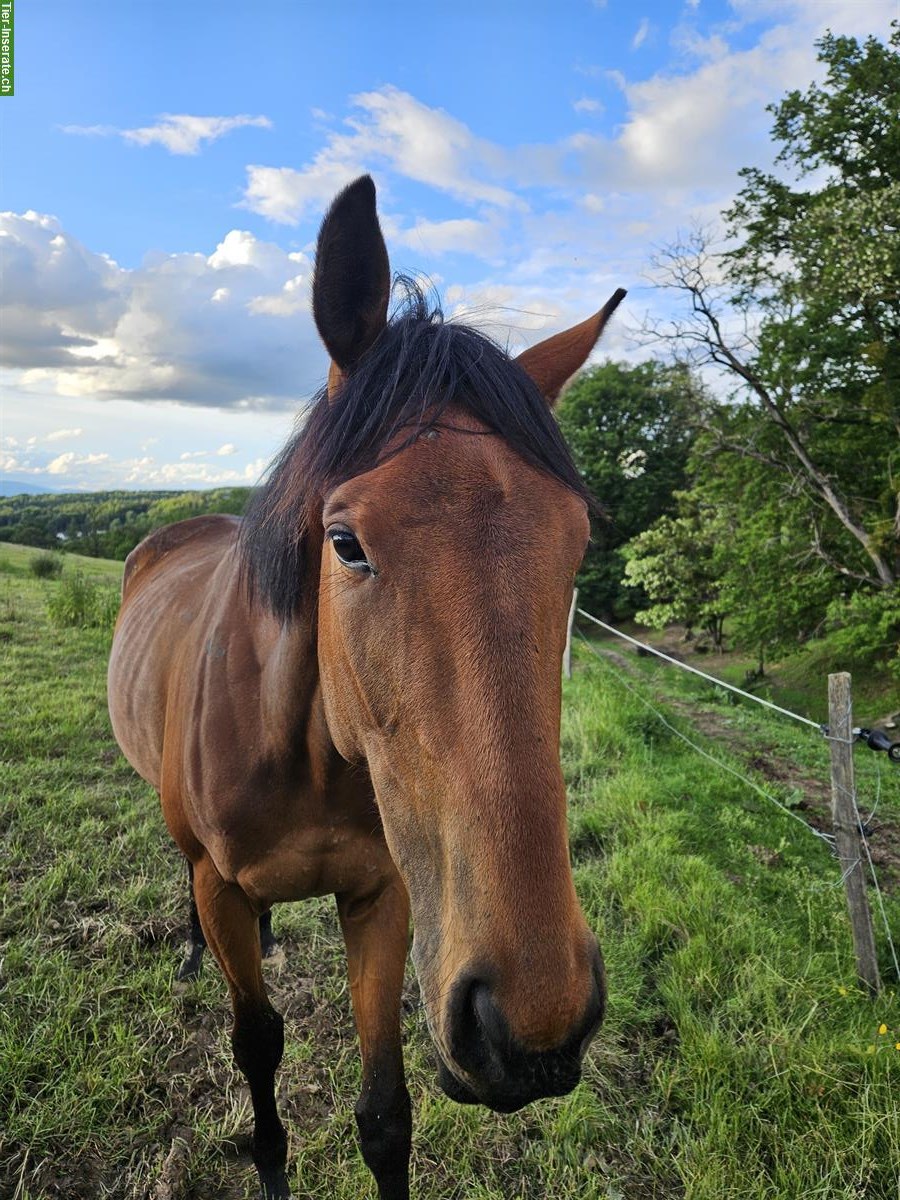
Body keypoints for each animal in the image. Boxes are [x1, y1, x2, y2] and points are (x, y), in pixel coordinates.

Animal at [107, 175, 628, 1200]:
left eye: (579, 543)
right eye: (345, 542)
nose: (533, 1023)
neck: (301, 751)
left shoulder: (384, 898)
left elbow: (386, 1114)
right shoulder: (223, 889)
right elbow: (257, 1042)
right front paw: (270, 1164)